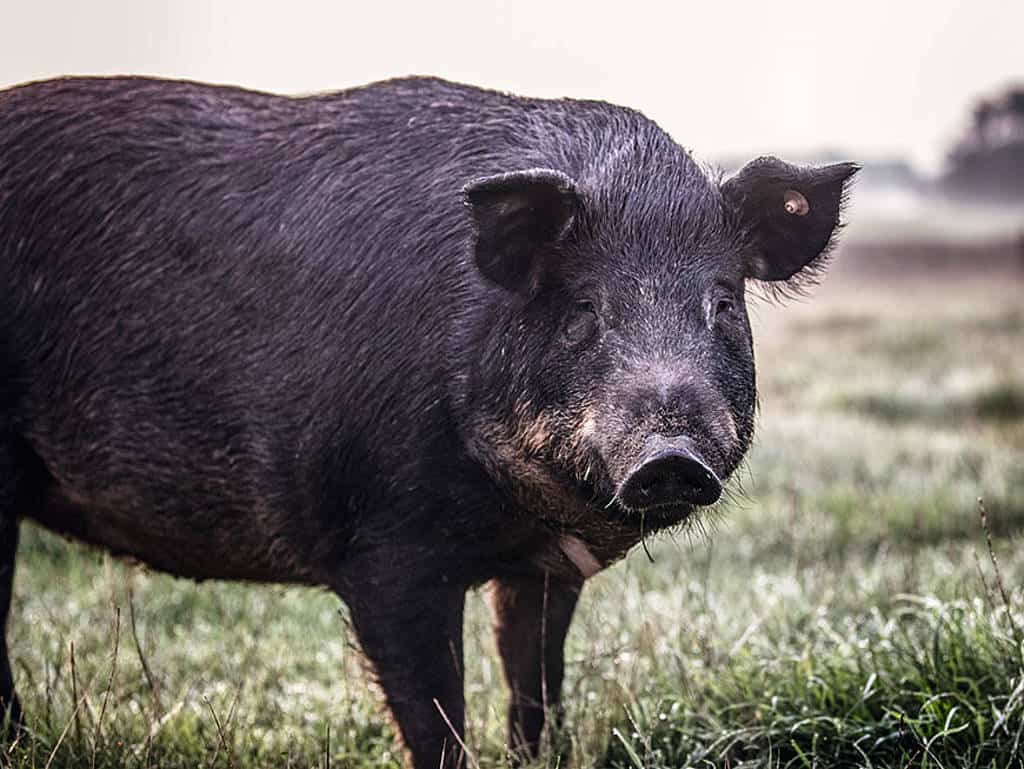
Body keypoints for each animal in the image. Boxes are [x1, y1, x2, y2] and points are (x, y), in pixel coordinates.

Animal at [0, 75, 857, 768]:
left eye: (722, 302)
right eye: (584, 308)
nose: (671, 454)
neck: (520, 510)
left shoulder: (541, 568)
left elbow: (534, 693)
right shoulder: (383, 547)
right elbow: (435, 720)